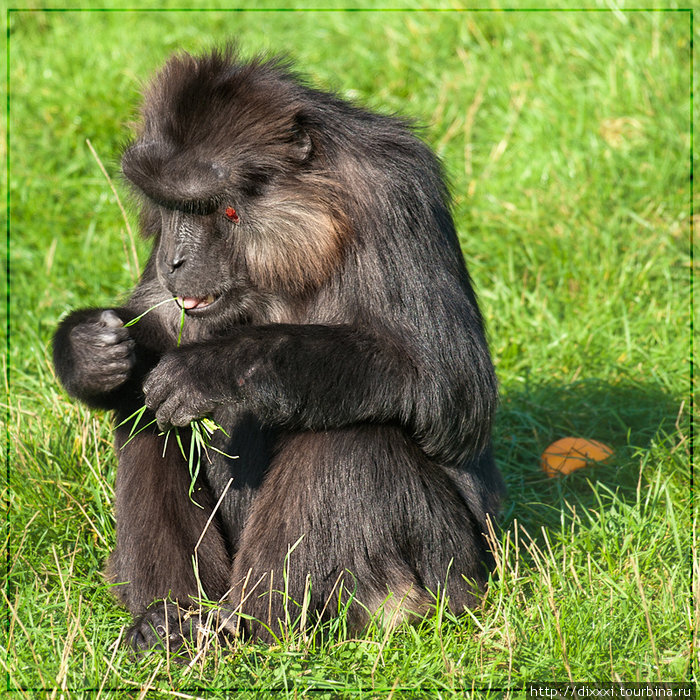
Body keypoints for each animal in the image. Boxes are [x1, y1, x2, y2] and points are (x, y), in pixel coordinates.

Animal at [53, 46, 504, 652]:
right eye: (169, 206)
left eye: (217, 208)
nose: (174, 258)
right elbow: (158, 327)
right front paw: (88, 350)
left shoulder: (395, 195)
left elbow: (450, 385)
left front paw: (220, 367)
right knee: (148, 416)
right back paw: (170, 619)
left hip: (448, 580)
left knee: (353, 436)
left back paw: (252, 626)